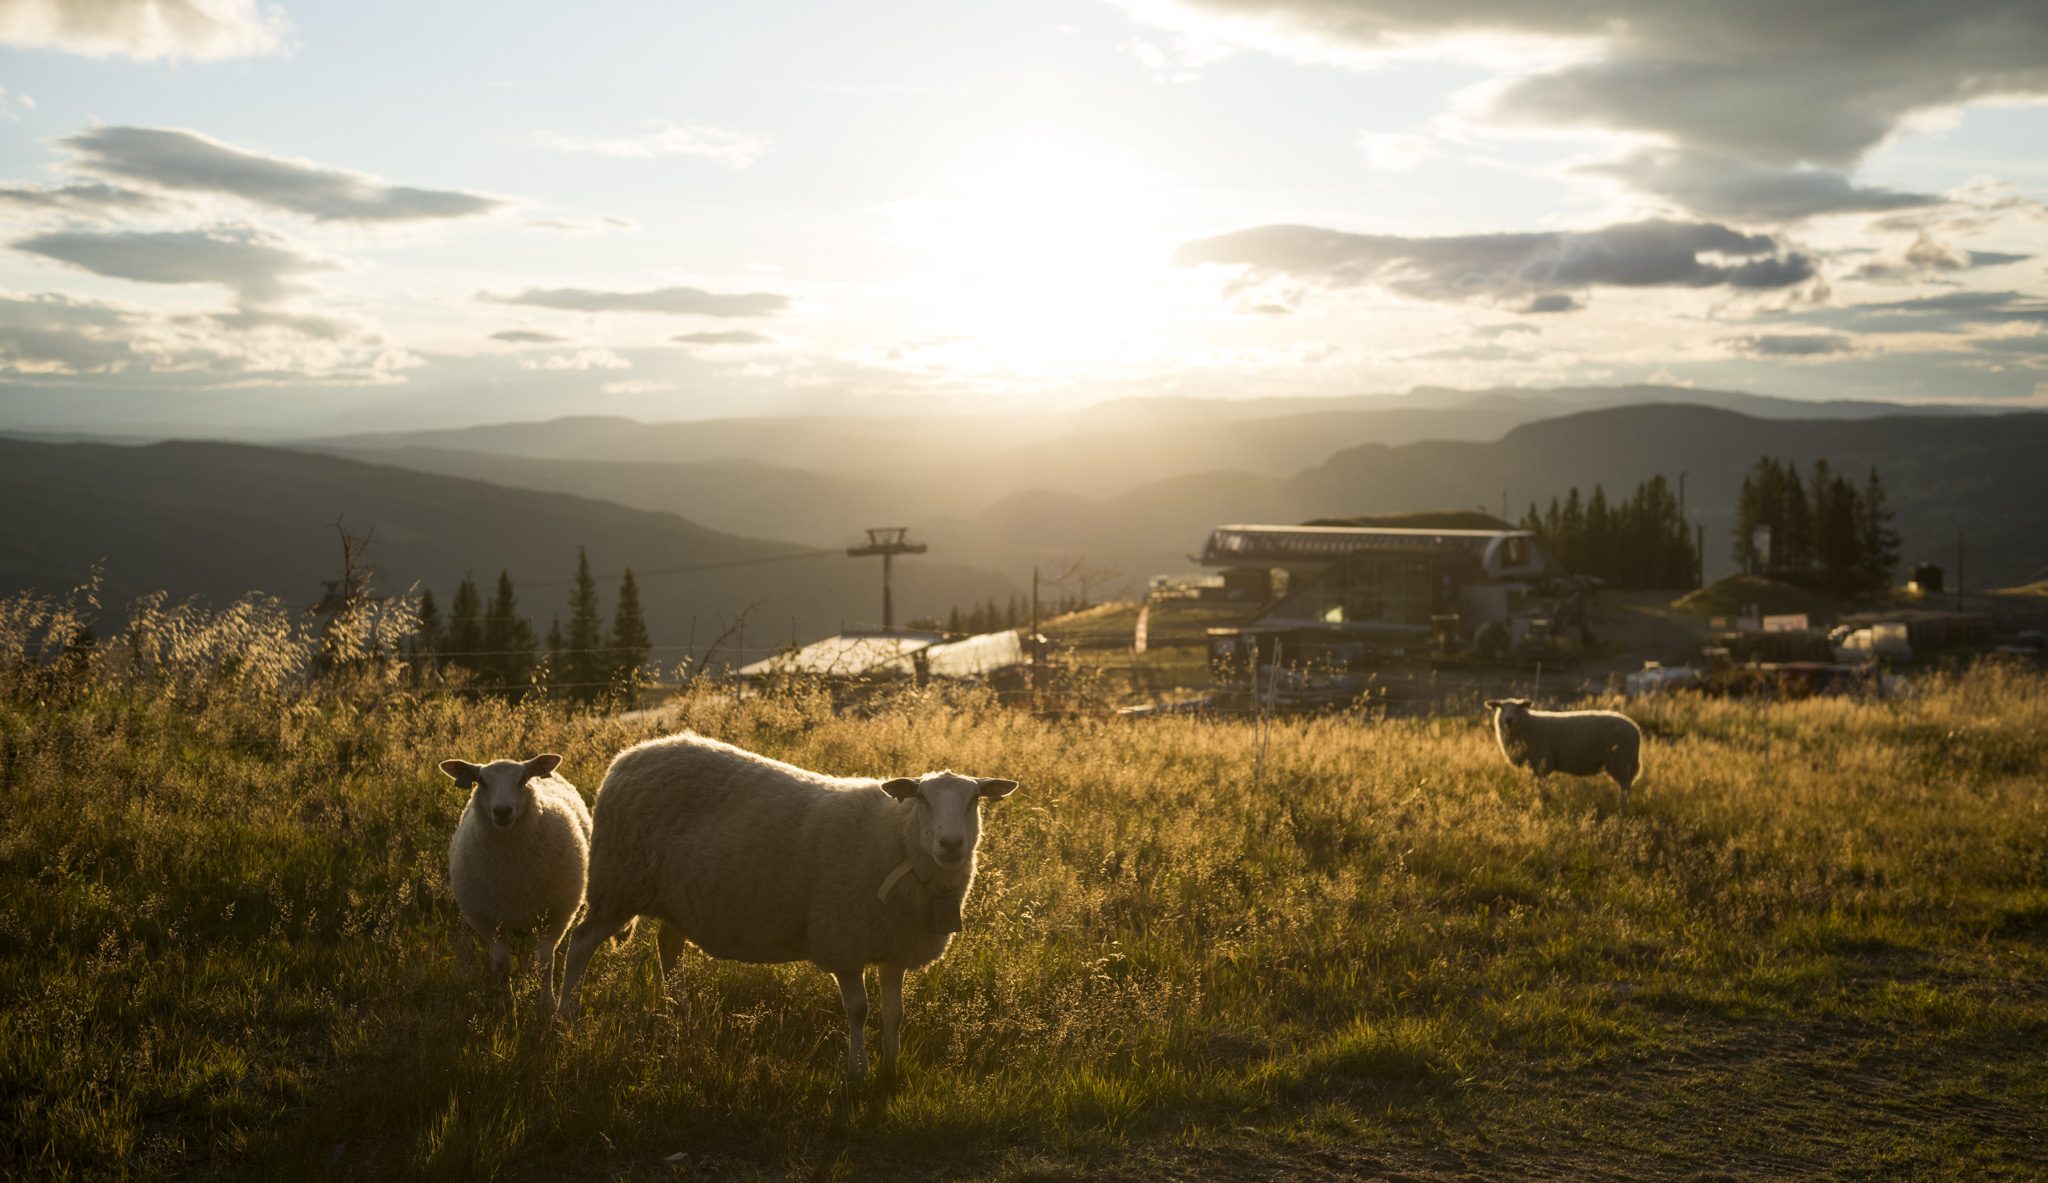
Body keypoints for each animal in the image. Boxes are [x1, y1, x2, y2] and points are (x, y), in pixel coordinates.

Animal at [440, 753, 592, 1013]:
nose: (502, 811)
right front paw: (507, 1008)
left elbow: (544, 964)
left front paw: (547, 1006)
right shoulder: (487, 920)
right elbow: (502, 965)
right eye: (481, 781)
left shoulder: (556, 915)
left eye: (522, 779)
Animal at [553, 732, 1019, 1078]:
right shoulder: (842, 940)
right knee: (580, 944)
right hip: (618, 883)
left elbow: (894, 1014)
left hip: (675, 896)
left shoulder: (894, 948)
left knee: (668, 946)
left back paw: (679, 1017)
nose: (951, 844)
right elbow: (859, 1012)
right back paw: (564, 1020)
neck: (899, 845)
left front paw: (891, 1067)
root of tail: (628, 757)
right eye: (922, 799)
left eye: (974, 800)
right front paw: (858, 1071)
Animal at [1483, 699, 1642, 808]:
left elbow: (1543, 788)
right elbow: (1539, 786)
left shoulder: (1542, 763)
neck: (1527, 725)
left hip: (1620, 761)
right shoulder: (1536, 766)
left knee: (1624, 786)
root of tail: (1636, 730)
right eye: (1501, 708)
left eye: (1518, 708)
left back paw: (1621, 808)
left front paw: (1545, 803)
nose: (1508, 719)